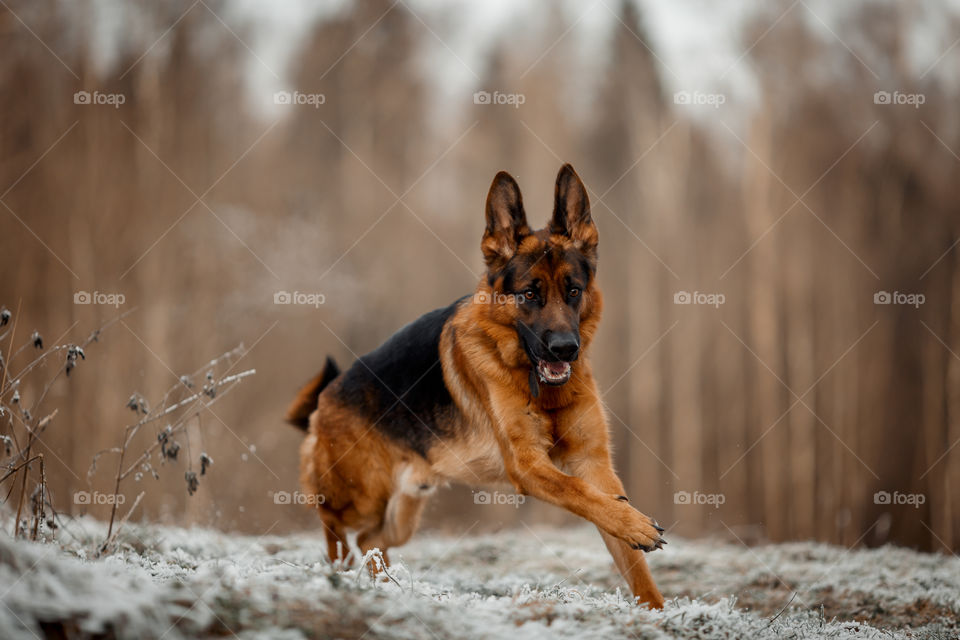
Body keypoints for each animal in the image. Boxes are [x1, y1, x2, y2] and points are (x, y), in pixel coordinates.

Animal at [284, 164, 660, 604]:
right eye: (529, 294)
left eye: (573, 290)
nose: (565, 349)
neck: (537, 385)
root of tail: (324, 400)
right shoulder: (528, 465)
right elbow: (579, 493)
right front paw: (636, 525)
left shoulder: (595, 466)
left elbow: (630, 556)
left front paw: (654, 605)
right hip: (360, 496)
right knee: (333, 525)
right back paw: (339, 573)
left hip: (401, 515)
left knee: (368, 541)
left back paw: (386, 586)